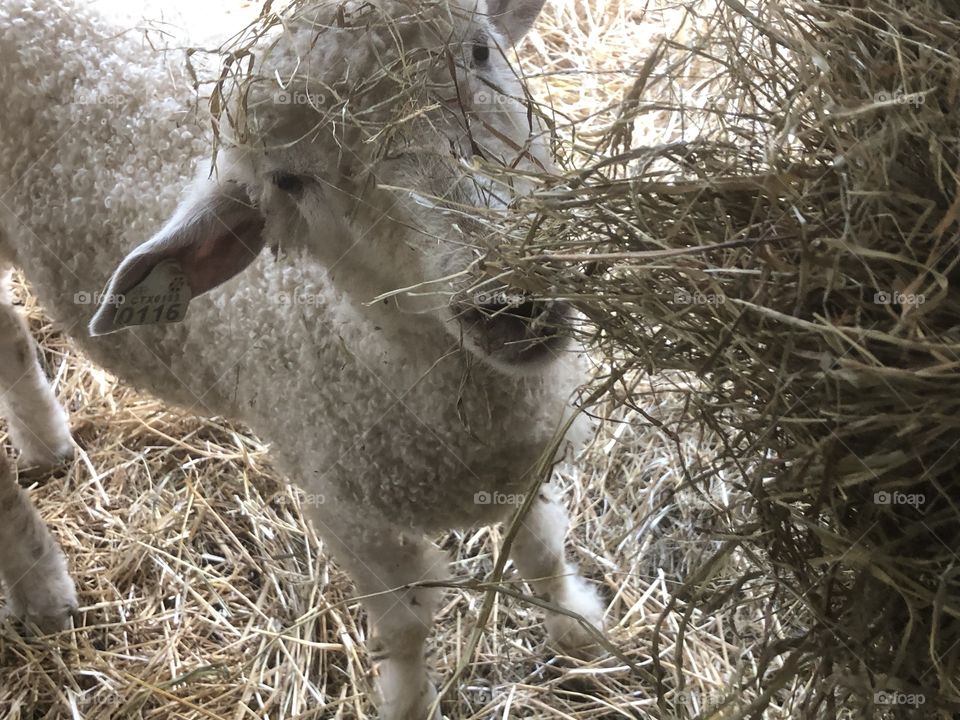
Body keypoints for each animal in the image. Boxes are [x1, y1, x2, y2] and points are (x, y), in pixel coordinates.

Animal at [0, 0, 605, 717]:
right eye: (289, 180)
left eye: (480, 52)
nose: (511, 299)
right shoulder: (344, 513)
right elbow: (406, 625)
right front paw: (408, 700)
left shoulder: (529, 454)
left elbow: (541, 550)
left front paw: (579, 626)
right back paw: (41, 587)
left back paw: (45, 445)